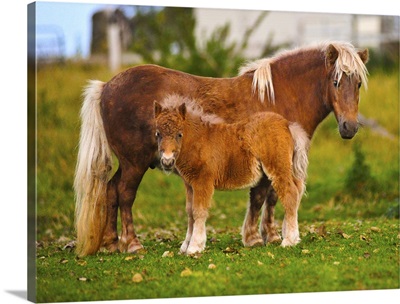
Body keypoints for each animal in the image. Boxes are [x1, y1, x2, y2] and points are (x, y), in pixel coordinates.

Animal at [153, 95, 310, 254]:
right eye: (158, 134)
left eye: (179, 134)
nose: (167, 161)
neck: (199, 141)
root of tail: (288, 125)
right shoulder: (189, 184)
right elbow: (190, 212)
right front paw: (185, 246)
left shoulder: (203, 181)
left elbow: (199, 211)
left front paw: (195, 247)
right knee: (296, 191)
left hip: (278, 168)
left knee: (290, 194)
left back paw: (289, 241)